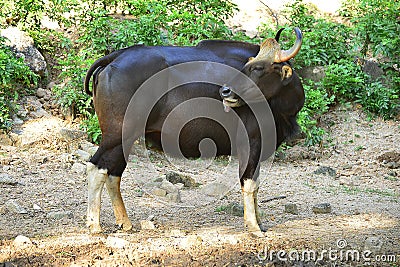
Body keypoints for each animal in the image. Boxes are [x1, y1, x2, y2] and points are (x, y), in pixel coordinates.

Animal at [83, 27, 304, 237]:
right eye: (248, 65)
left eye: (258, 67)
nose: (226, 91)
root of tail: (115, 56)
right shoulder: (251, 142)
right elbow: (249, 183)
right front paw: (253, 226)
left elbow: (256, 184)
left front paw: (260, 223)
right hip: (117, 134)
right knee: (96, 167)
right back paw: (94, 225)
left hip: (125, 139)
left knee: (113, 172)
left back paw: (124, 222)